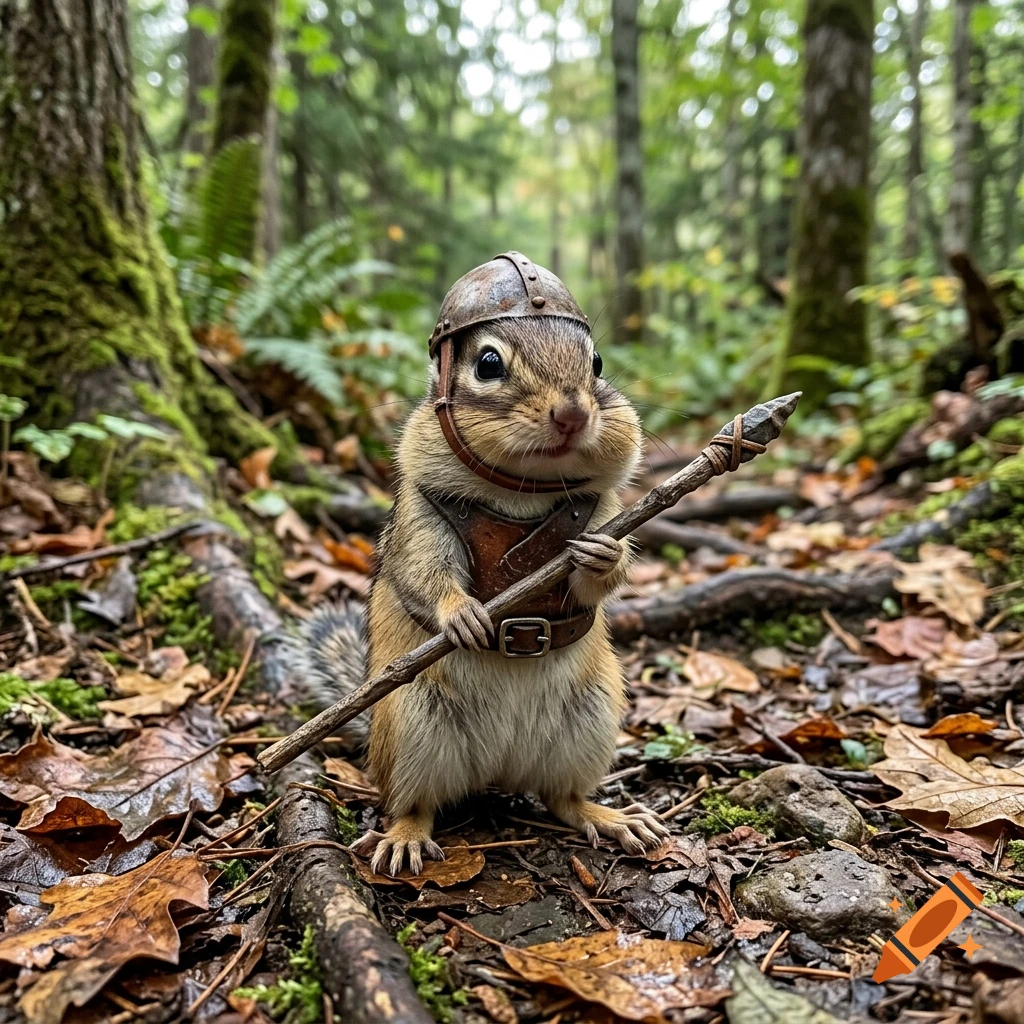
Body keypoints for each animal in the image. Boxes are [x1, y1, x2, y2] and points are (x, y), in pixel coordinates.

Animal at [292, 252, 668, 876]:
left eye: (597, 363)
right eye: (488, 363)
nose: (573, 414)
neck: (523, 489)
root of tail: (499, 769)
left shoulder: (605, 509)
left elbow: (605, 577)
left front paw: (604, 556)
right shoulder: (422, 518)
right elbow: (422, 573)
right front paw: (459, 612)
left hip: (589, 722)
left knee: (562, 797)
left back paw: (610, 817)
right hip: (413, 726)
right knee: (413, 802)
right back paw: (405, 836)